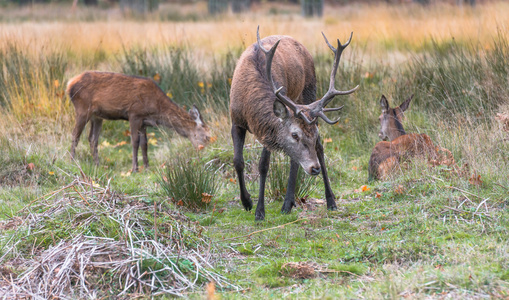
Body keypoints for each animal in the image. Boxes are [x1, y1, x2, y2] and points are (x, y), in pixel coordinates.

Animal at [67, 70, 210, 172]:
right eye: (207, 137)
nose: (206, 153)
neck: (156, 108)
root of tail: (69, 84)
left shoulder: (144, 121)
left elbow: (144, 143)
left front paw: (147, 167)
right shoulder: (134, 114)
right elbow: (135, 141)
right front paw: (135, 169)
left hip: (97, 116)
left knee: (92, 138)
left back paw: (97, 164)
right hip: (82, 109)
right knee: (75, 135)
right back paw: (72, 161)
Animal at [230, 27, 358, 220]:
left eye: (312, 135)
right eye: (294, 134)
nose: (314, 169)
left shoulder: (268, 131)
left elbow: (263, 165)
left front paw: (259, 211)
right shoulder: (236, 121)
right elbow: (238, 161)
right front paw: (247, 202)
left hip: (309, 92)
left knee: (317, 149)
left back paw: (326, 201)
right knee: (295, 158)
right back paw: (288, 203)